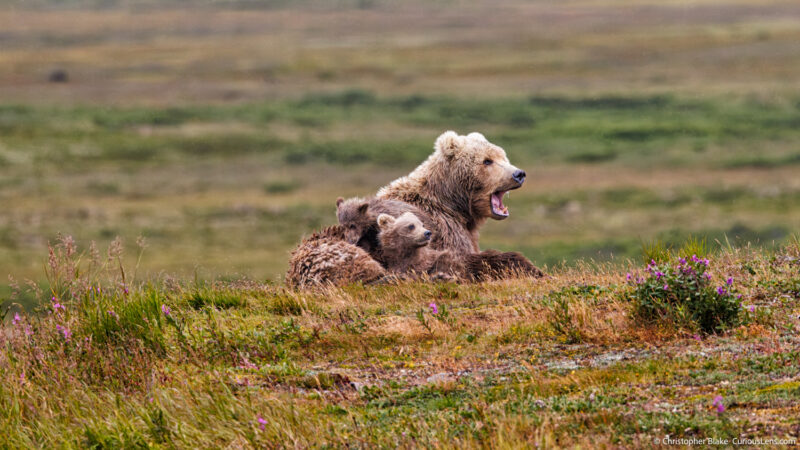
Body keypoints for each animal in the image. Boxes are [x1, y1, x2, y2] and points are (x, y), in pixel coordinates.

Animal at [284, 130, 540, 286]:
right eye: (487, 161)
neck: (454, 205)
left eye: (503, 156)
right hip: (335, 253)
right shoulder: (443, 231)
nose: (519, 174)